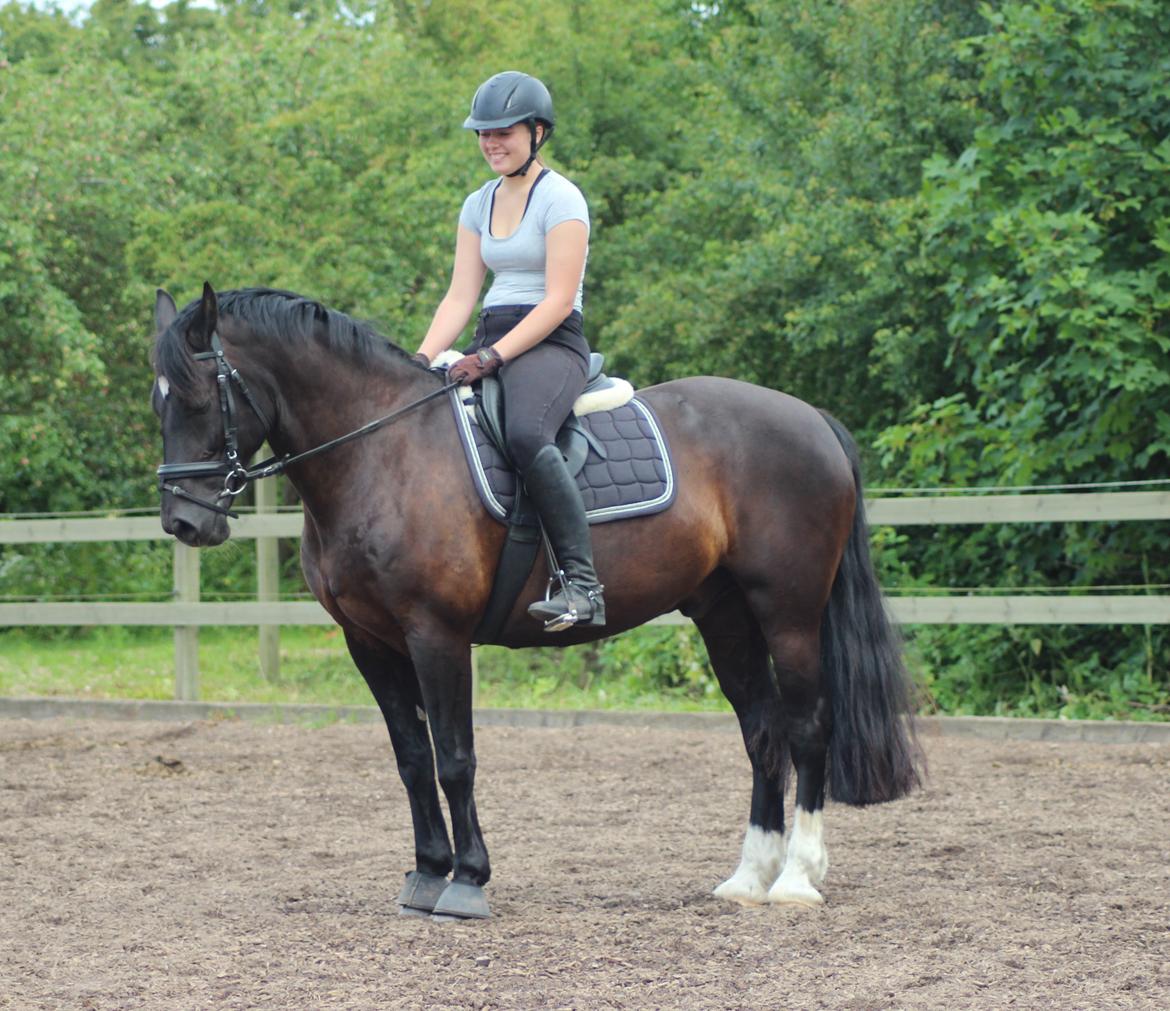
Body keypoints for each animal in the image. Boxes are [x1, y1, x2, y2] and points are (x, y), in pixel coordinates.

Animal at [153, 282, 921, 917]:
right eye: (158, 402)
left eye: (196, 396)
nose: (184, 523)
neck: (381, 452)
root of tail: (811, 418)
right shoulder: (368, 641)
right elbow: (411, 758)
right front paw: (425, 875)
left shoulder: (436, 634)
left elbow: (454, 756)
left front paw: (466, 881)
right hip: (725, 614)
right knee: (761, 731)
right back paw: (748, 878)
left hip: (788, 611)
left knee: (807, 728)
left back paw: (795, 878)